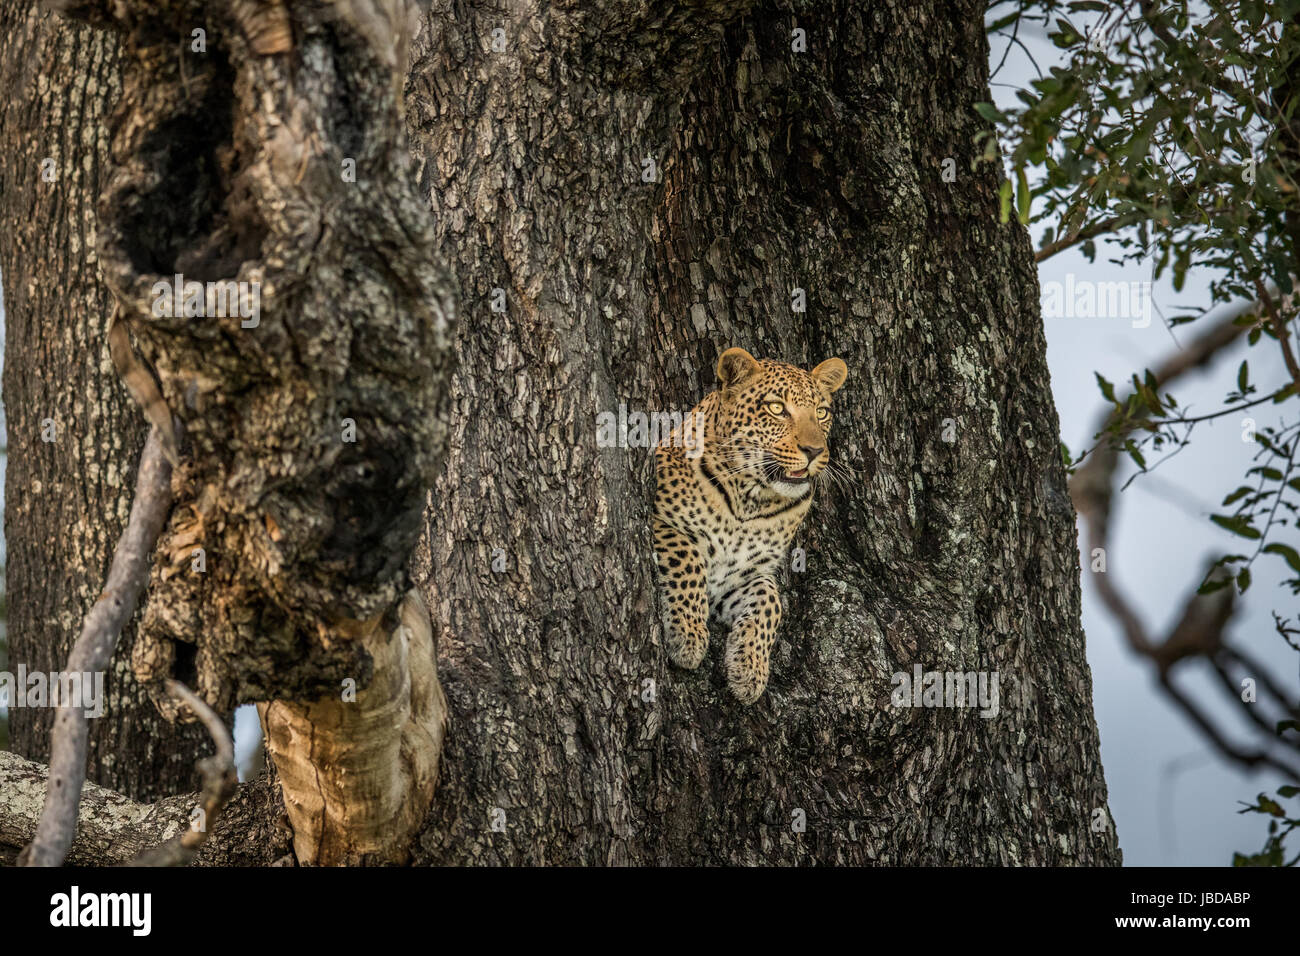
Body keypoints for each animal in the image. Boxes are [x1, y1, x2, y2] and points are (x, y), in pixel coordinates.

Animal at [653, 347, 848, 704]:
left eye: (822, 412)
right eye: (776, 408)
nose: (814, 450)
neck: (750, 500)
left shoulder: (746, 575)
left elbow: (771, 602)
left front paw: (749, 669)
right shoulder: (661, 520)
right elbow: (688, 560)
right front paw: (688, 637)